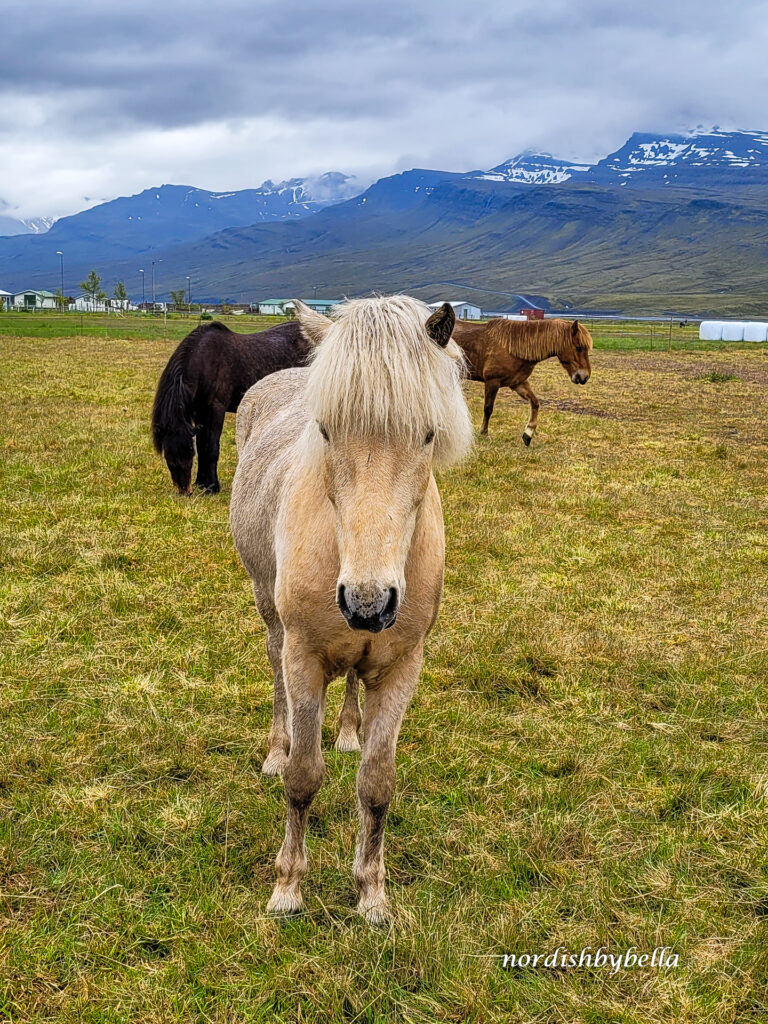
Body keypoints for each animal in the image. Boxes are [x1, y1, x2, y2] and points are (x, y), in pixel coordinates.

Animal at [151, 319, 311, 495]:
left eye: (189, 454)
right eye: (168, 457)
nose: (185, 491)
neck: (204, 361)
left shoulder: (215, 409)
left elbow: (211, 448)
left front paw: (212, 487)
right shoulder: (200, 412)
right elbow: (202, 446)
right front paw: (201, 482)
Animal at [228, 294, 473, 921]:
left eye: (428, 435)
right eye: (325, 431)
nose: (368, 603)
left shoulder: (402, 665)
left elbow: (377, 784)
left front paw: (371, 894)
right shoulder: (305, 657)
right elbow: (302, 777)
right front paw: (288, 887)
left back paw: (346, 732)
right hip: (270, 614)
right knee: (274, 672)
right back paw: (276, 747)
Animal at [454, 317, 598, 442]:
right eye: (579, 347)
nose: (584, 376)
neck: (511, 347)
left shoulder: (518, 383)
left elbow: (535, 403)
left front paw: (528, 433)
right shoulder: (492, 382)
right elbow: (488, 409)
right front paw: (484, 433)